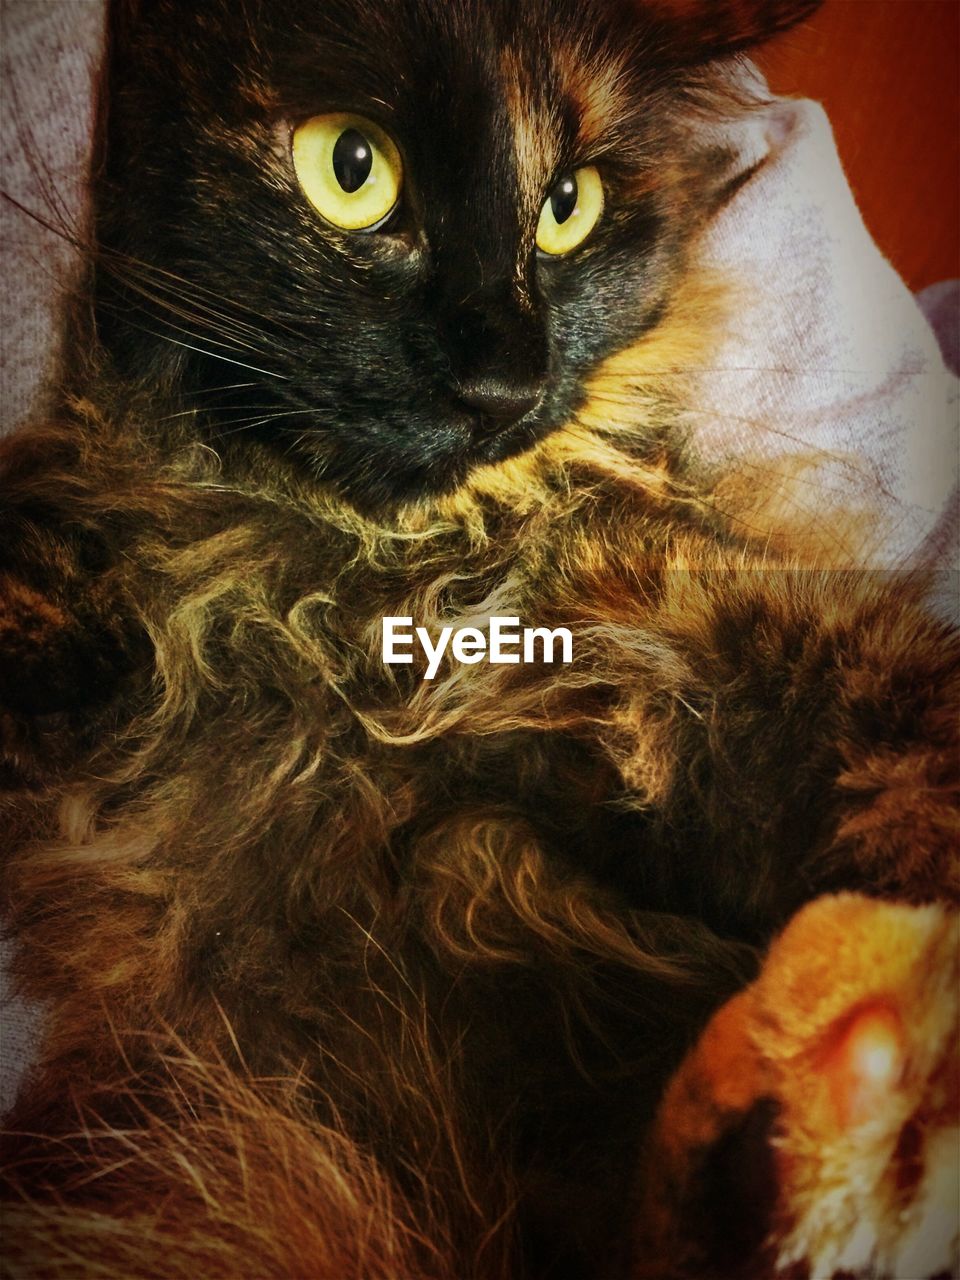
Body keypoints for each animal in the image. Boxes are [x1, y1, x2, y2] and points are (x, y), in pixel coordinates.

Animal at [1, 2, 960, 1280]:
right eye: (351, 166)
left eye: (568, 205)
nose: (510, 379)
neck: (358, 586)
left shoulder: (721, 643)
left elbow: (904, 754)